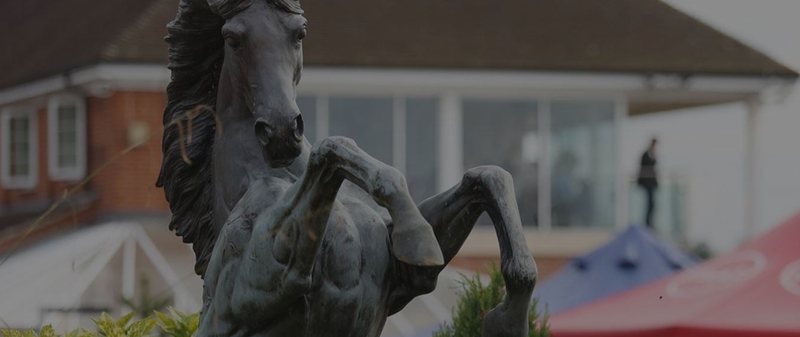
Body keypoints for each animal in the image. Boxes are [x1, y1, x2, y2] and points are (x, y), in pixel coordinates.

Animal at [156, 0, 536, 334]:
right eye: (233, 38)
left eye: (299, 33)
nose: (282, 132)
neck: (273, 173)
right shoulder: (269, 275)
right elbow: (332, 147)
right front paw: (417, 236)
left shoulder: (407, 281)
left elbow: (488, 176)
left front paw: (505, 321)